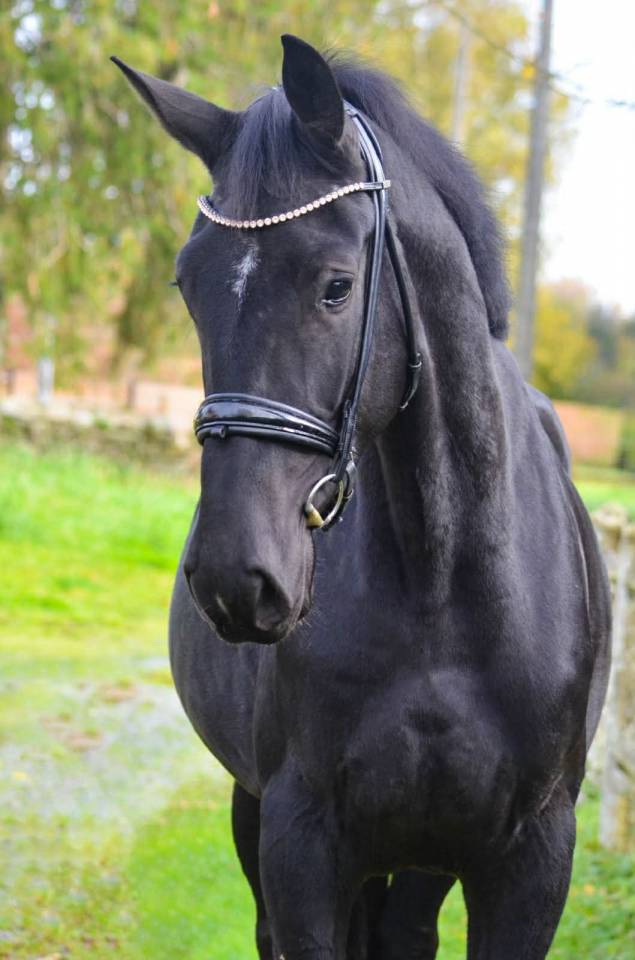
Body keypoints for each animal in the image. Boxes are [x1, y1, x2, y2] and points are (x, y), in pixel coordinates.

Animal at [113, 35, 611, 960]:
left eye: (336, 286)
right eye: (188, 286)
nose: (237, 576)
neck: (443, 584)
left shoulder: (530, 860)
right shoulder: (300, 841)